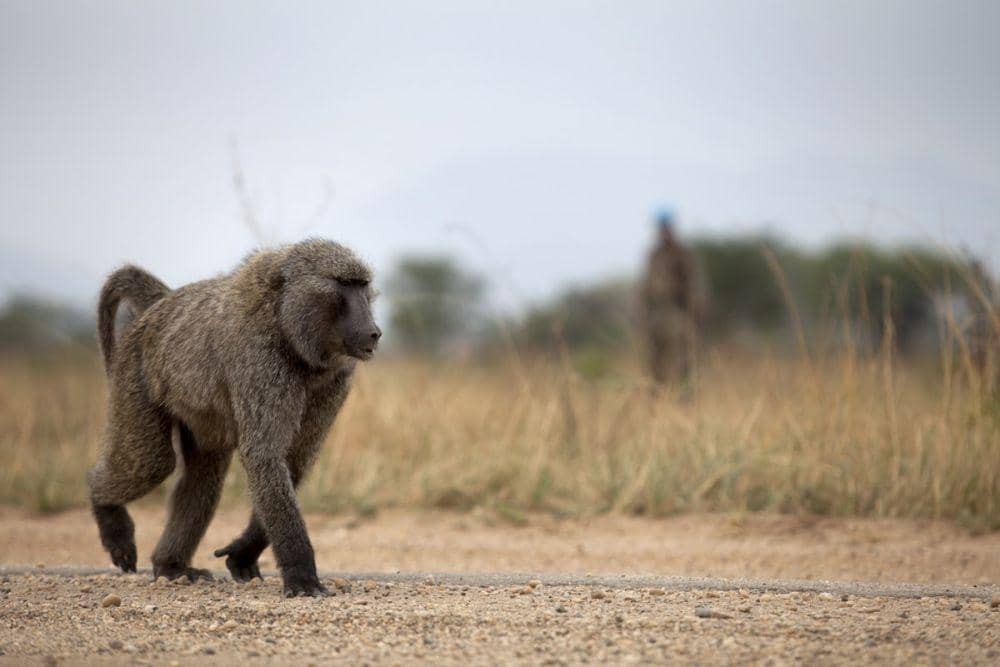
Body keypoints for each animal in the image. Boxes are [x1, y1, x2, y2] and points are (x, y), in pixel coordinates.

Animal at [88, 239, 381, 597]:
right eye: (343, 286)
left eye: (362, 287)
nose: (374, 332)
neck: (284, 322)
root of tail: (162, 304)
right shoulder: (260, 360)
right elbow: (264, 456)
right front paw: (302, 577)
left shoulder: (337, 377)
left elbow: (292, 460)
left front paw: (243, 550)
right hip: (134, 369)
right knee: (151, 463)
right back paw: (106, 513)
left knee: (204, 475)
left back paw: (170, 566)